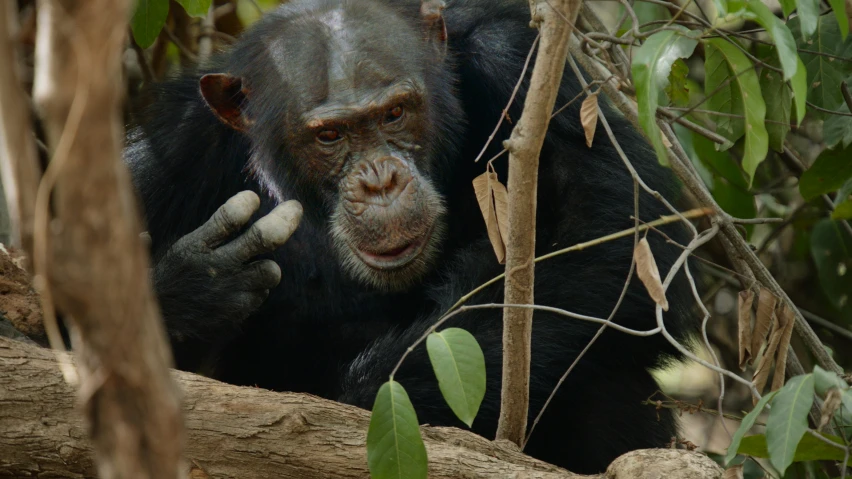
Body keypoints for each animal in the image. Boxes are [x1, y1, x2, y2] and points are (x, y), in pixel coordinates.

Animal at [128, 0, 700, 472]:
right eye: (330, 135)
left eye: (395, 113)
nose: (381, 181)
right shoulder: (170, 147)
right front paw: (199, 283)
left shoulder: (518, 58)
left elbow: (616, 229)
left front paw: (355, 400)